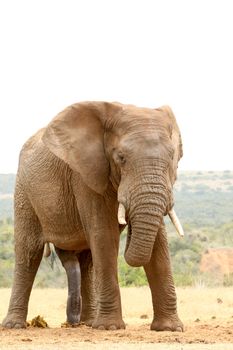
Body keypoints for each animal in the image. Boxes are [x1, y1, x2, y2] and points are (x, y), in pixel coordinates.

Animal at [1, 100, 184, 330]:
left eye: (172, 157)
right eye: (121, 158)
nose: (128, 224)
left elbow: (159, 242)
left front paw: (169, 328)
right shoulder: (85, 175)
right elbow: (104, 234)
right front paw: (110, 328)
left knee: (86, 259)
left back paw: (87, 323)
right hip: (24, 190)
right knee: (29, 252)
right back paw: (14, 325)